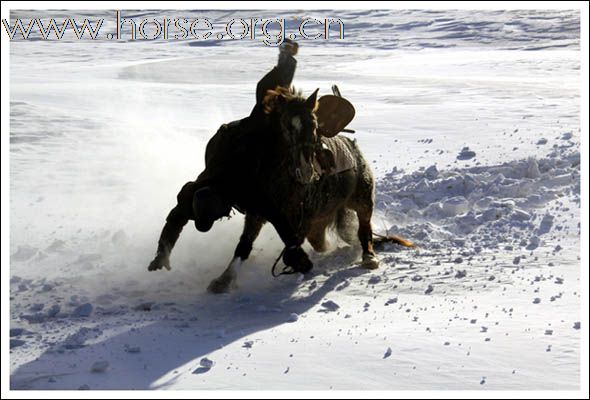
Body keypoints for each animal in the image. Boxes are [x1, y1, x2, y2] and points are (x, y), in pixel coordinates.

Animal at [146, 87, 400, 294]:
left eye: (314, 125)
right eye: (287, 126)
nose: (306, 172)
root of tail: (354, 147)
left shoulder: (292, 213)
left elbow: (290, 243)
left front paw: (297, 264)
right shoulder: (258, 211)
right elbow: (244, 246)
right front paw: (223, 281)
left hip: (362, 198)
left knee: (364, 228)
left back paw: (369, 257)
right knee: (324, 240)